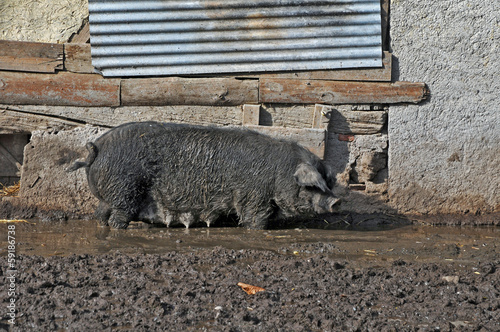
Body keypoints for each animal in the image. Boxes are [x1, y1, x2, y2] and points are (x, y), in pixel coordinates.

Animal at [67, 121, 340, 228]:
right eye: (312, 185)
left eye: (327, 181)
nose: (336, 201)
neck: (278, 173)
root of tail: (97, 148)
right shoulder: (254, 200)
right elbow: (255, 222)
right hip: (124, 193)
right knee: (118, 219)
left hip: (108, 197)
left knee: (100, 214)